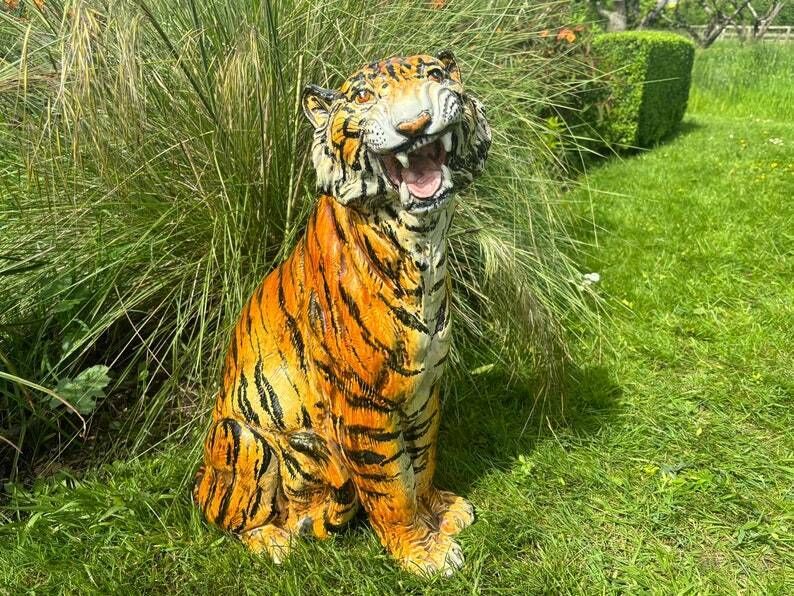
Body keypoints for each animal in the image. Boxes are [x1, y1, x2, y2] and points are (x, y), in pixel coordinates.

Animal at [193, 51, 491, 577]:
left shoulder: (425, 389)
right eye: (364, 97)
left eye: (435, 76)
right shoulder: (363, 406)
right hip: (240, 437)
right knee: (227, 517)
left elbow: (422, 461)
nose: (414, 124)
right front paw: (424, 551)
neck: (423, 241)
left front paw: (441, 510)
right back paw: (274, 541)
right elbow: (392, 488)